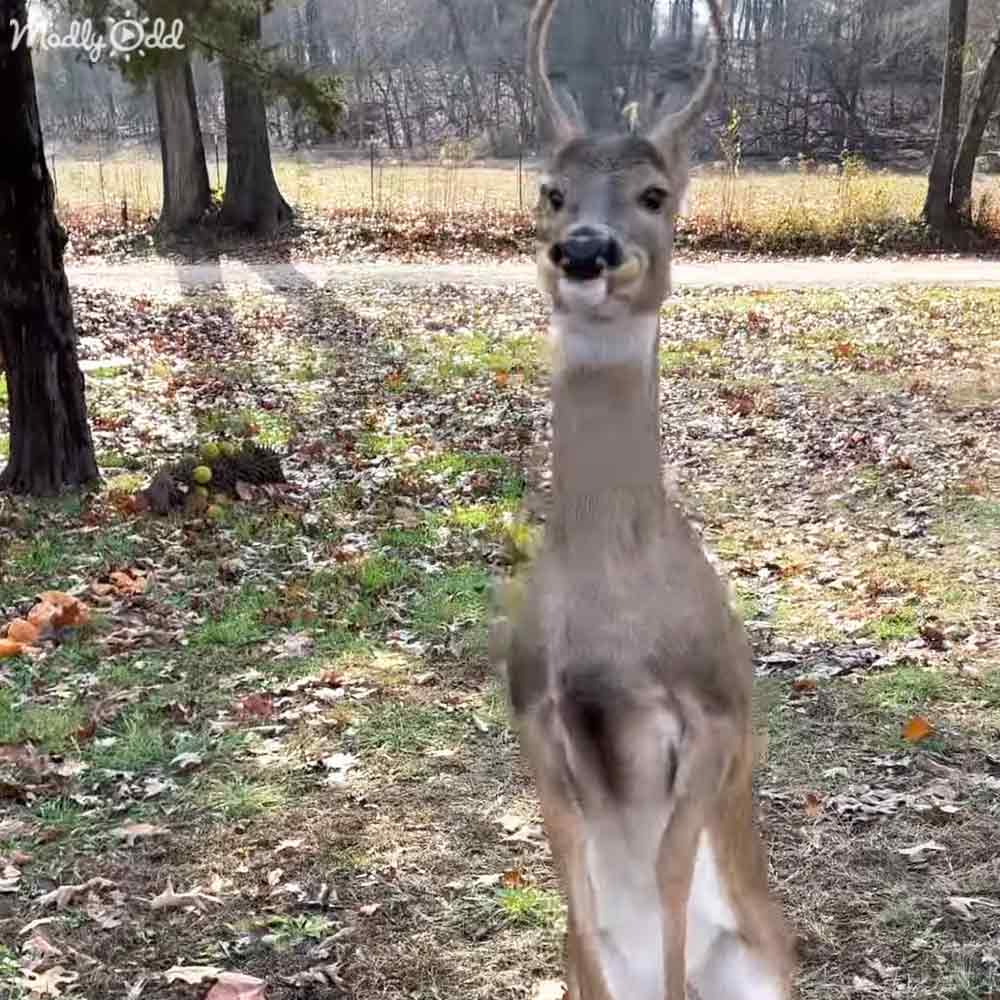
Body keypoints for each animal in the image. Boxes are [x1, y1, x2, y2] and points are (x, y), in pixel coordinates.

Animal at [500, 2, 795, 998]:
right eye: (552, 190)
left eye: (656, 193)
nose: (586, 251)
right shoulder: (532, 717)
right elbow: (577, 891)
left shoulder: (717, 714)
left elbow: (668, 876)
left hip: (768, 957)